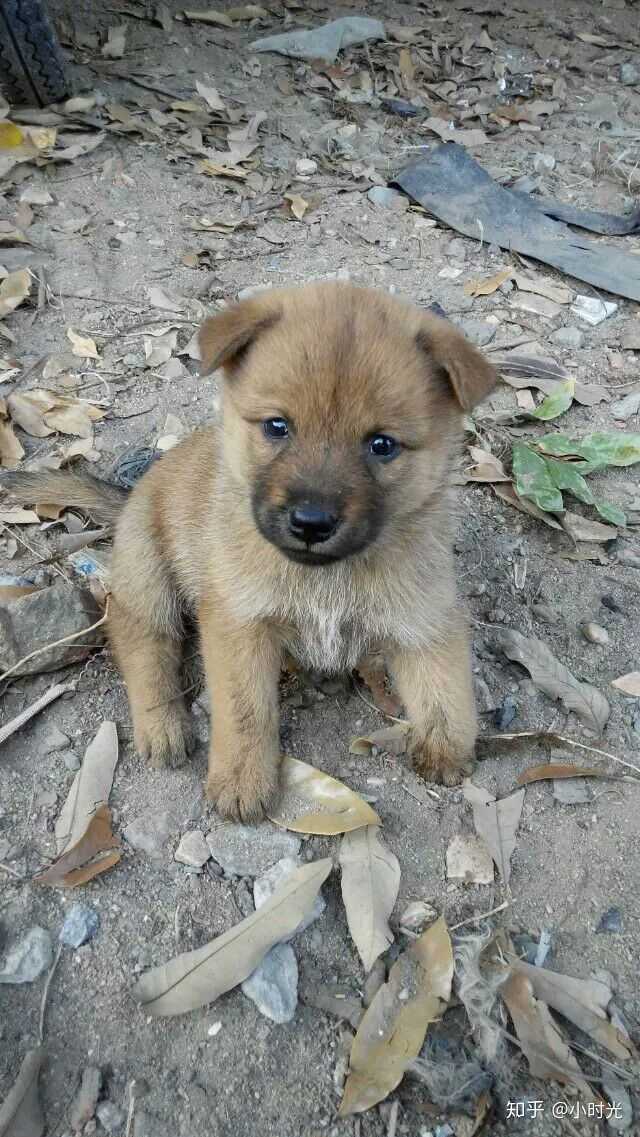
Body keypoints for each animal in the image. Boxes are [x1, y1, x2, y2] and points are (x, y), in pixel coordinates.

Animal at [6, 281, 495, 818]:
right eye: (277, 426)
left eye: (382, 445)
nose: (311, 522)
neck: (326, 575)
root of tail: (129, 497)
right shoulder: (238, 623)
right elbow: (245, 712)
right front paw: (242, 779)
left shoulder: (425, 620)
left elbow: (446, 691)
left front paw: (448, 749)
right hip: (148, 575)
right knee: (143, 642)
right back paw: (162, 725)